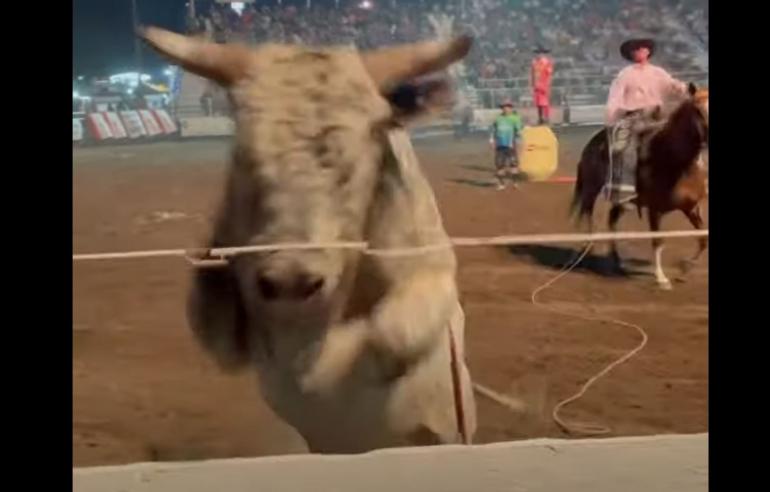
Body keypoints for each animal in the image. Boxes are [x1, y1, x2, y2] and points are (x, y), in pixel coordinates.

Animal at [568, 83, 704, 290]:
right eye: (697, 110)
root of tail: (592, 143)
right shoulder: (655, 210)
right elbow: (658, 241)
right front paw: (661, 278)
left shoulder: (692, 208)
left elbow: (704, 239)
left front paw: (684, 270)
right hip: (591, 189)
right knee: (587, 214)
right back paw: (586, 252)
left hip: (621, 200)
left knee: (611, 220)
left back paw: (616, 262)